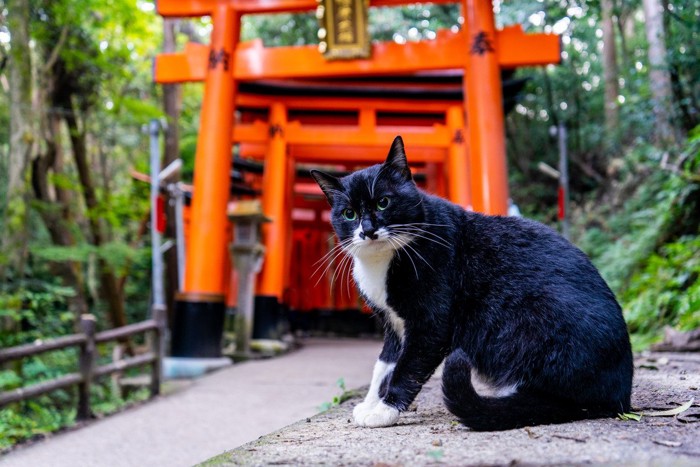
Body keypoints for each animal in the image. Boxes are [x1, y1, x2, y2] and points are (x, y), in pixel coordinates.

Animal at [312, 137, 636, 434]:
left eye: (383, 202)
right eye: (349, 214)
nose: (367, 230)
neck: (383, 261)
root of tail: (620, 393)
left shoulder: (431, 324)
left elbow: (407, 367)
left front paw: (384, 410)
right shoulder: (394, 322)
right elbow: (384, 364)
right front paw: (371, 403)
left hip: (525, 314)